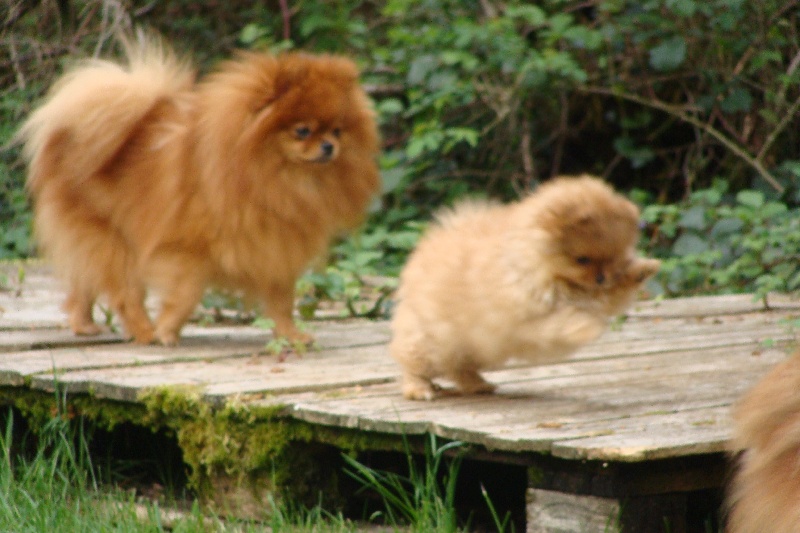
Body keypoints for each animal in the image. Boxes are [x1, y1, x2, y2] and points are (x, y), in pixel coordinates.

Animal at [18, 35, 382, 348]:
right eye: (302, 130)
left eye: (338, 130)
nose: (329, 146)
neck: (275, 178)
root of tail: (65, 139)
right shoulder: (186, 249)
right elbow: (185, 295)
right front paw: (167, 331)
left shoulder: (274, 247)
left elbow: (282, 302)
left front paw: (291, 336)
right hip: (114, 239)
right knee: (124, 293)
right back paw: (144, 332)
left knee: (85, 281)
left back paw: (84, 325)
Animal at [390, 175, 660, 400]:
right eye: (582, 259)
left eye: (614, 258)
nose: (602, 278)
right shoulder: (526, 323)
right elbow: (562, 322)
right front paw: (586, 326)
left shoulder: (596, 295)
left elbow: (613, 293)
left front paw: (643, 268)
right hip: (433, 341)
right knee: (412, 362)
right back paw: (419, 389)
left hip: (469, 348)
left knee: (458, 368)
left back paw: (478, 385)